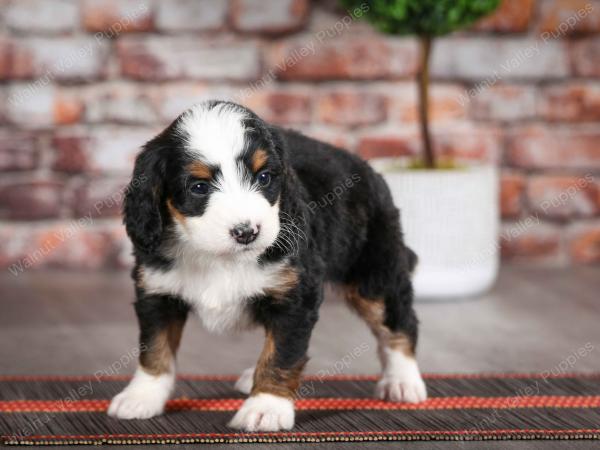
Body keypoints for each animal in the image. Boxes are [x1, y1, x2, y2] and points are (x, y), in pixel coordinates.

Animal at [108, 100, 426, 430]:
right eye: (198, 187)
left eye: (263, 178)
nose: (246, 232)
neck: (221, 258)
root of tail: (369, 170)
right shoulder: (157, 292)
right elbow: (155, 348)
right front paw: (142, 396)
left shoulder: (294, 297)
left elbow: (282, 354)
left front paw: (266, 407)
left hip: (375, 274)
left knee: (399, 324)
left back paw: (402, 382)